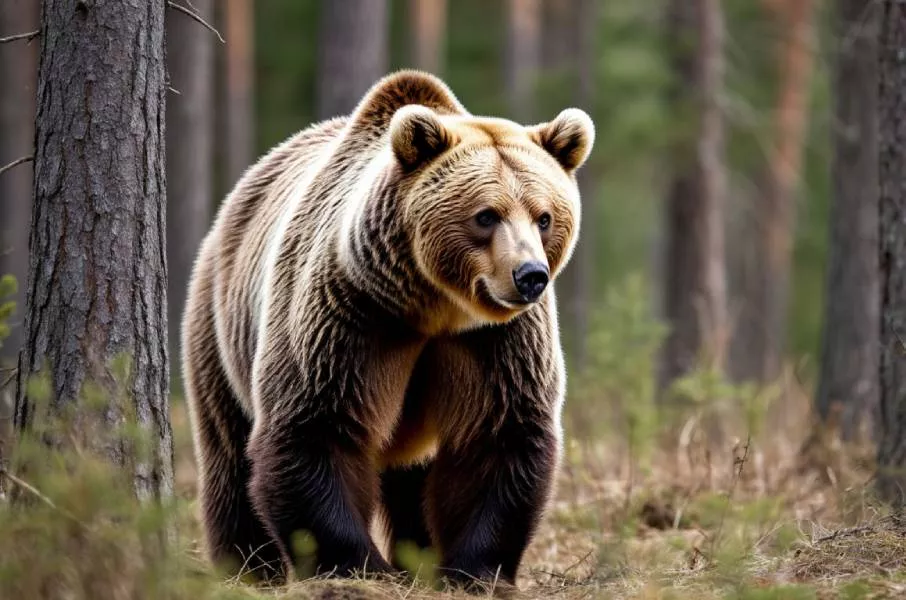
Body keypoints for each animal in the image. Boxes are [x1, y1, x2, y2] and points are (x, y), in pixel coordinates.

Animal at [181, 70, 594, 589]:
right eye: (486, 215)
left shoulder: (496, 341)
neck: (434, 306)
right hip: (219, 322)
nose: (530, 275)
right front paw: (355, 565)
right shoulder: (350, 314)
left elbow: (499, 433)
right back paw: (249, 565)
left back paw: (416, 555)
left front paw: (474, 569)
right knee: (228, 449)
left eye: (544, 217)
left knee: (413, 479)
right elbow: (316, 425)